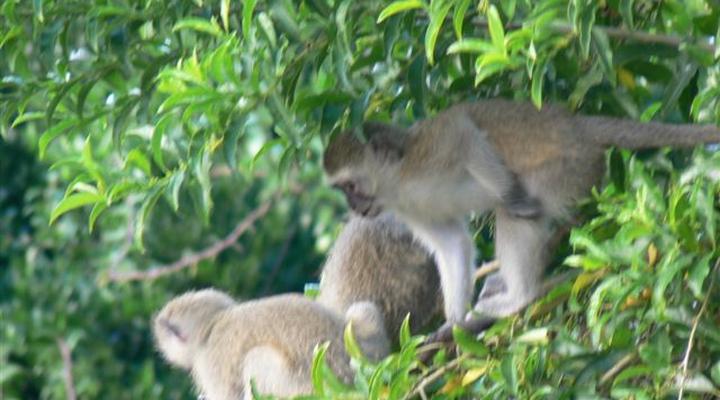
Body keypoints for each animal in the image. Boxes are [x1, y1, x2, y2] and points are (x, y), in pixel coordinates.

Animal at [323, 98, 720, 322]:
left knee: (515, 213)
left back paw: (519, 297)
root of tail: (577, 128)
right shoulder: (407, 209)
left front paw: (511, 195)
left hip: (569, 168)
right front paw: (454, 321)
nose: (353, 207)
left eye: (350, 186)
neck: (396, 183)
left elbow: (462, 130)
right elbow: (451, 245)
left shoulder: (428, 153)